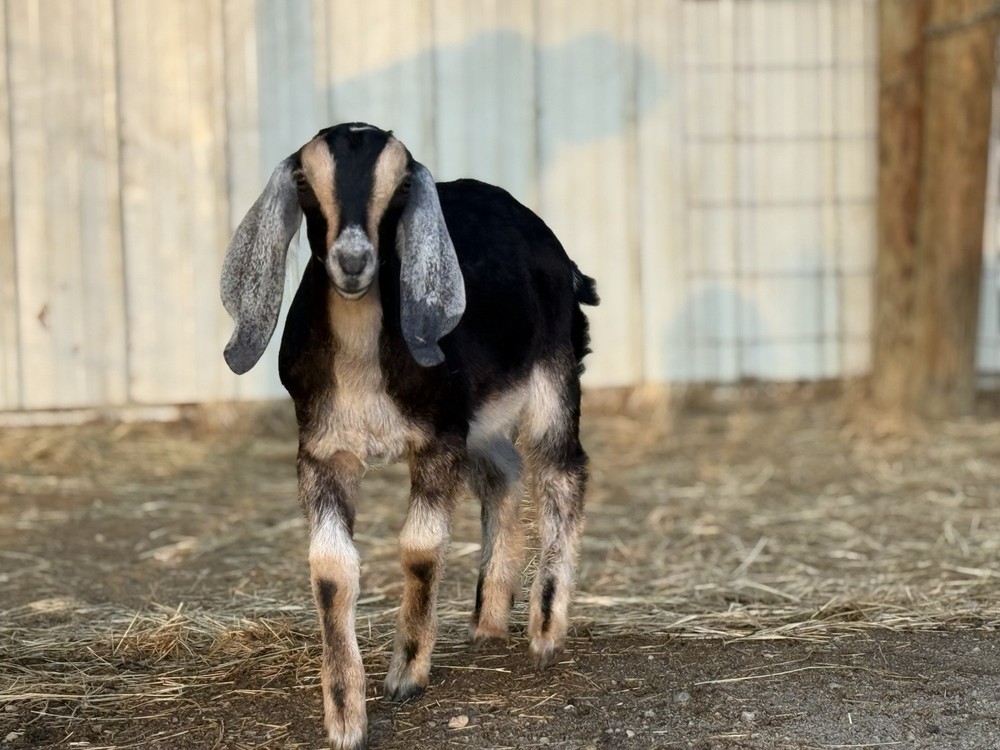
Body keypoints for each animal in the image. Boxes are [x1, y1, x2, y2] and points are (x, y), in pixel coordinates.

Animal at [220, 122, 598, 750]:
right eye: (305, 183)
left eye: (399, 189)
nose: (353, 261)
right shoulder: (321, 452)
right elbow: (331, 569)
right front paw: (345, 715)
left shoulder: (438, 438)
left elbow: (420, 547)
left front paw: (406, 673)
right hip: (480, 416)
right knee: (505, 472)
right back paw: (488, 619)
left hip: (552, 371)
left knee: (560, 472)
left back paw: (545, 629)